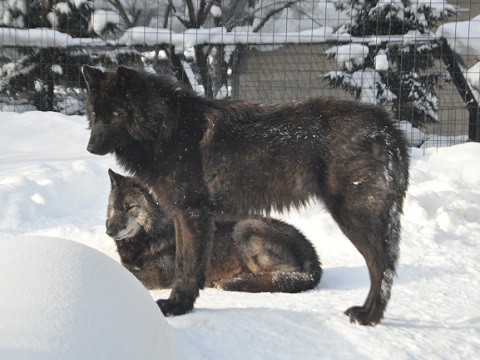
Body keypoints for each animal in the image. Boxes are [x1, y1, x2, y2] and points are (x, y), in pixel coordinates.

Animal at [107, 169, 320, 292]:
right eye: (113, 207)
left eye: (129, 207)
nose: (109, 231)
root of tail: (311, 249)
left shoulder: (163, 275)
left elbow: (132, 275)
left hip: (244, 228)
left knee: (283, 277)